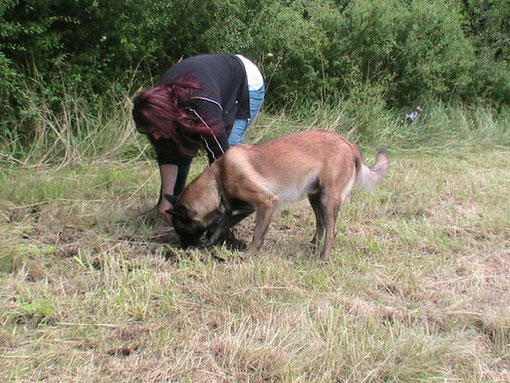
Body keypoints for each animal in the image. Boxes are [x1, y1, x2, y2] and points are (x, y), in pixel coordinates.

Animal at [165, 130, 388, 260]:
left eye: (181, 230)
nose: (183, 248)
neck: (218, 180)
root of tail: (349, 144)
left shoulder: (266, 203)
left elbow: (257, 235)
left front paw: (248, 254)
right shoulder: (241, 210)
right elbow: (219, 228)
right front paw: (208, 244)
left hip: (328, 198)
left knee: (331, 230)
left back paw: (323, 258)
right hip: (315, 198)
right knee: (321, 224)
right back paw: (313, 246)